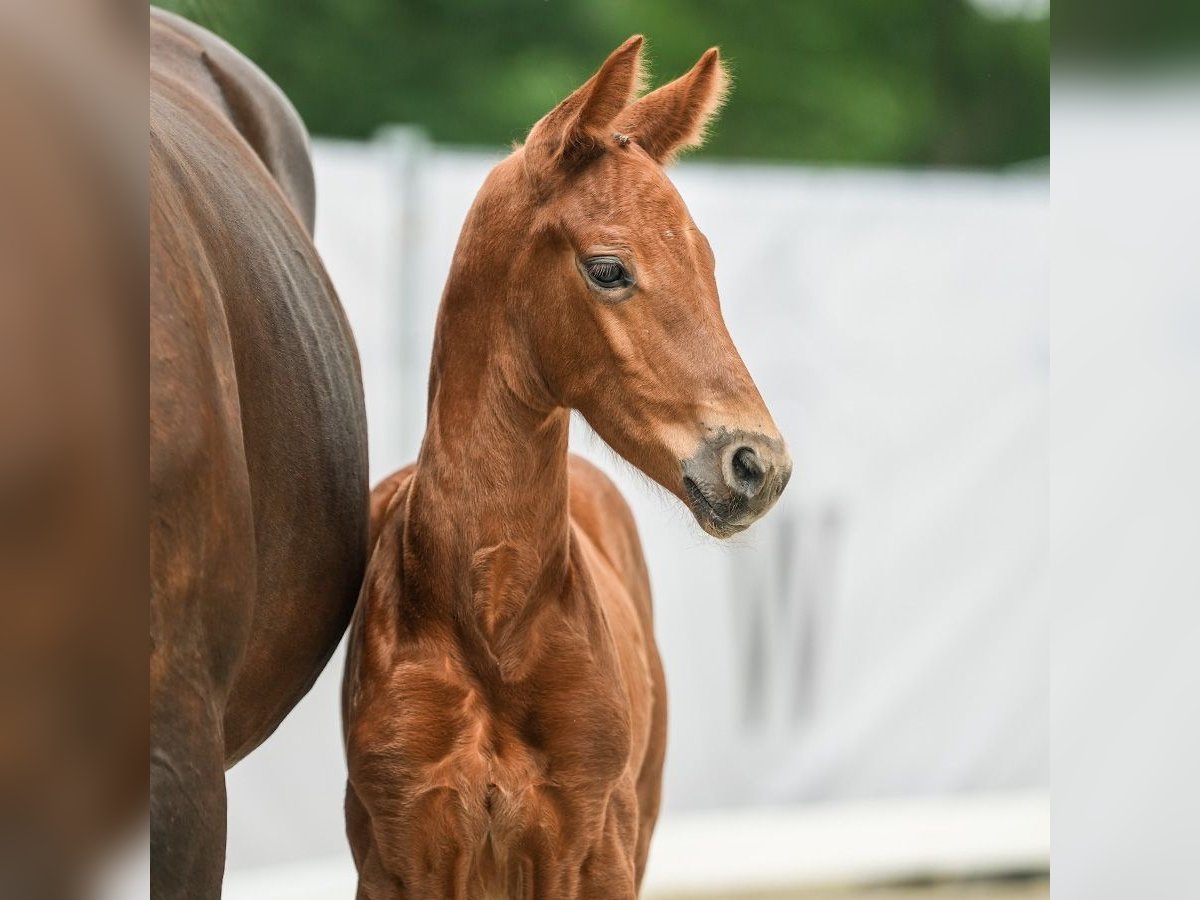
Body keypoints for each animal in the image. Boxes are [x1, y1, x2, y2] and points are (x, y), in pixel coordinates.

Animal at [343, 37, 792, 900]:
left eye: (707, 262)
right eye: (609, 269)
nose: (758, 464)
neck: (490, 626)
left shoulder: (594, 849)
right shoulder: (399, 856)